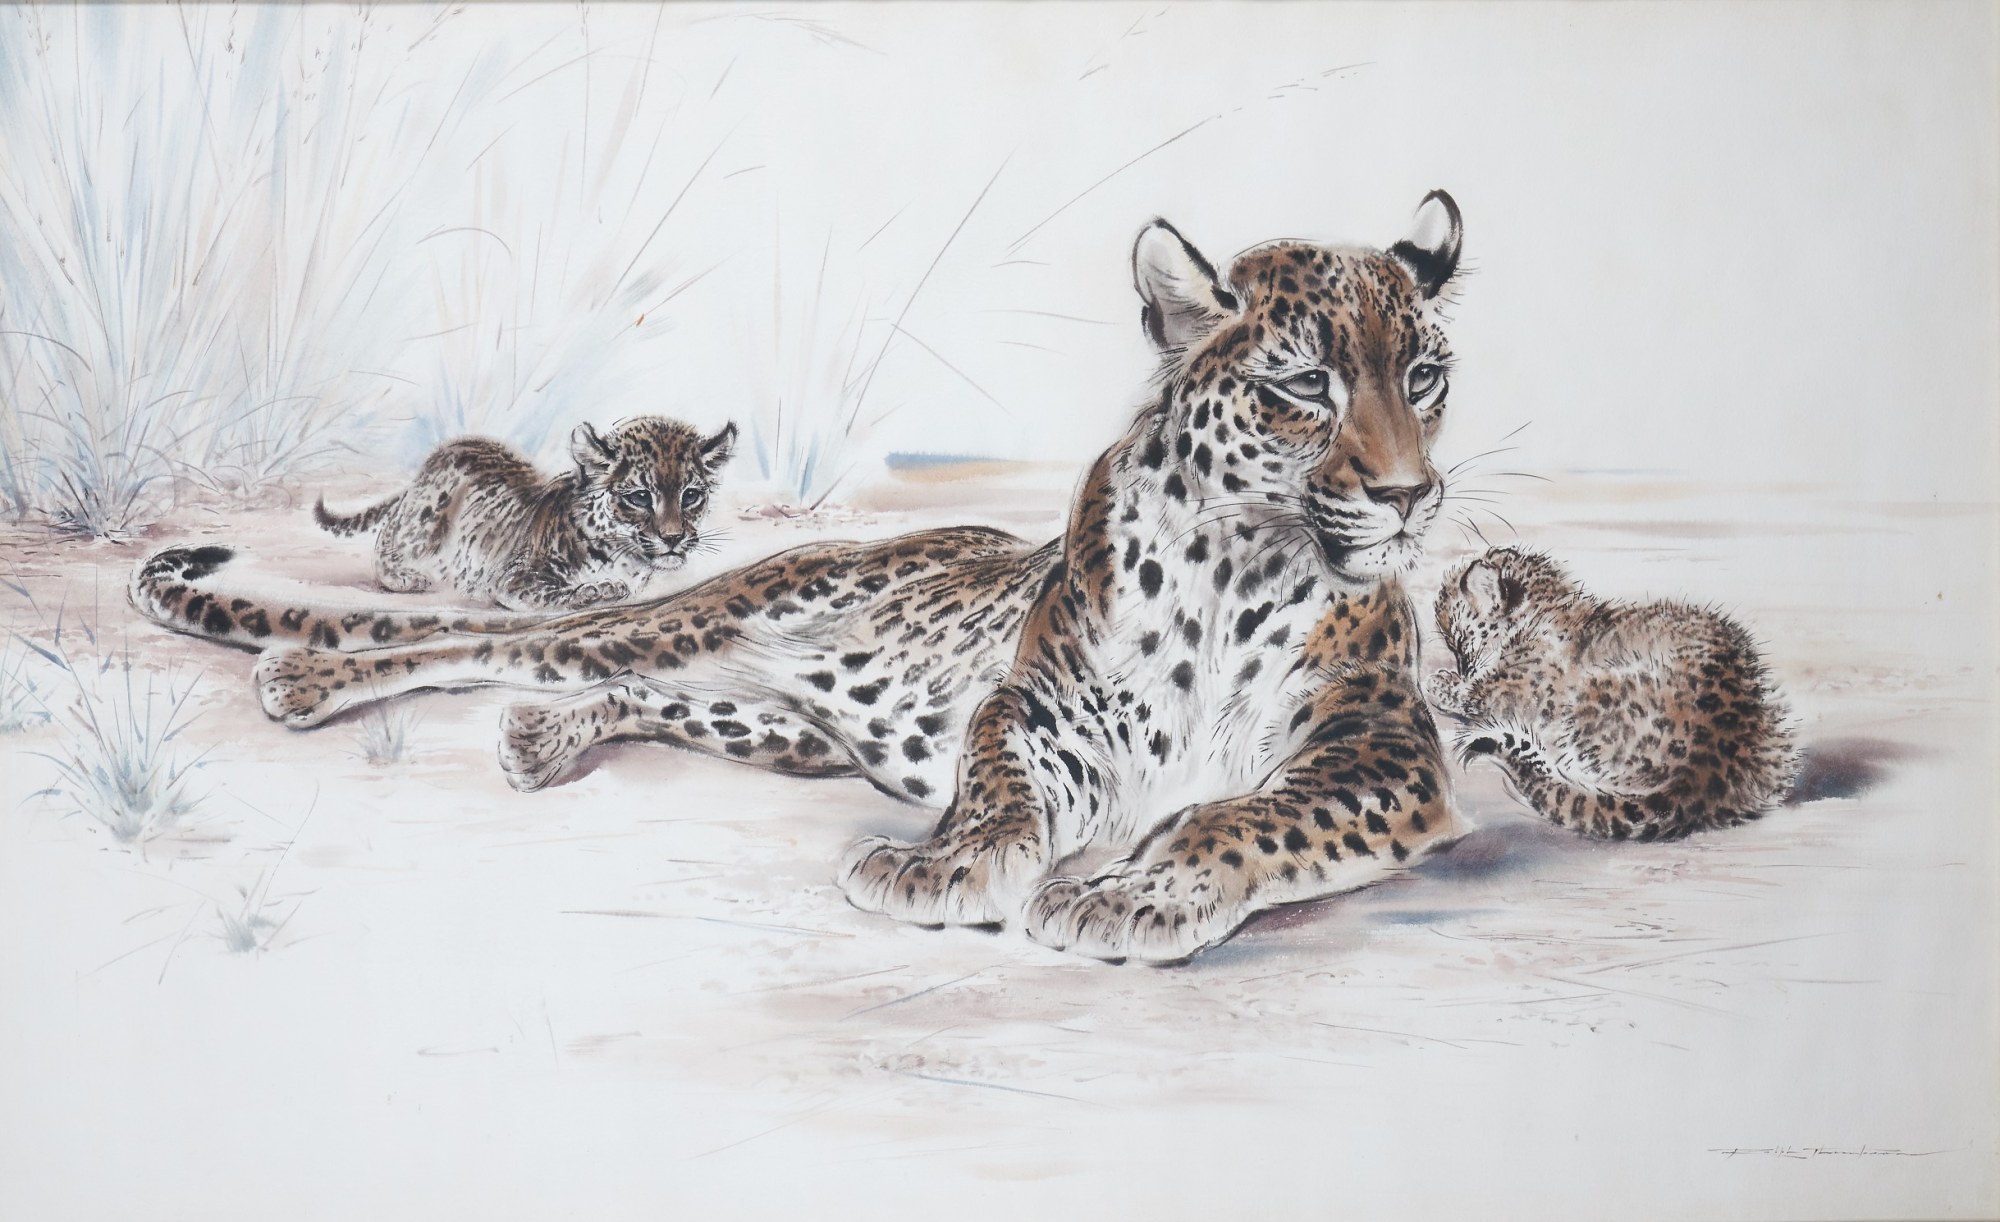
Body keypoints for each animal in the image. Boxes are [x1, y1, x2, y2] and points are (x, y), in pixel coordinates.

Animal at [312, 416, 736, 611]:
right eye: (641, 497)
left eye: (691, 495)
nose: (673, 538)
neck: (626, 560)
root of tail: (442, 454)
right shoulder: (514, 576)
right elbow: (550, 591)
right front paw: (593, 591)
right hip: (422, 521)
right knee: (388, 540)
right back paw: (406, 575)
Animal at [1426, 546, 1798, 840]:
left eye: (1459, 643)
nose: (1463, 667)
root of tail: (1703, 766)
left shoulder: (1512, 690)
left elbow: (1473, 695)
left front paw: (1439, 683)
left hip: (1584, 703)